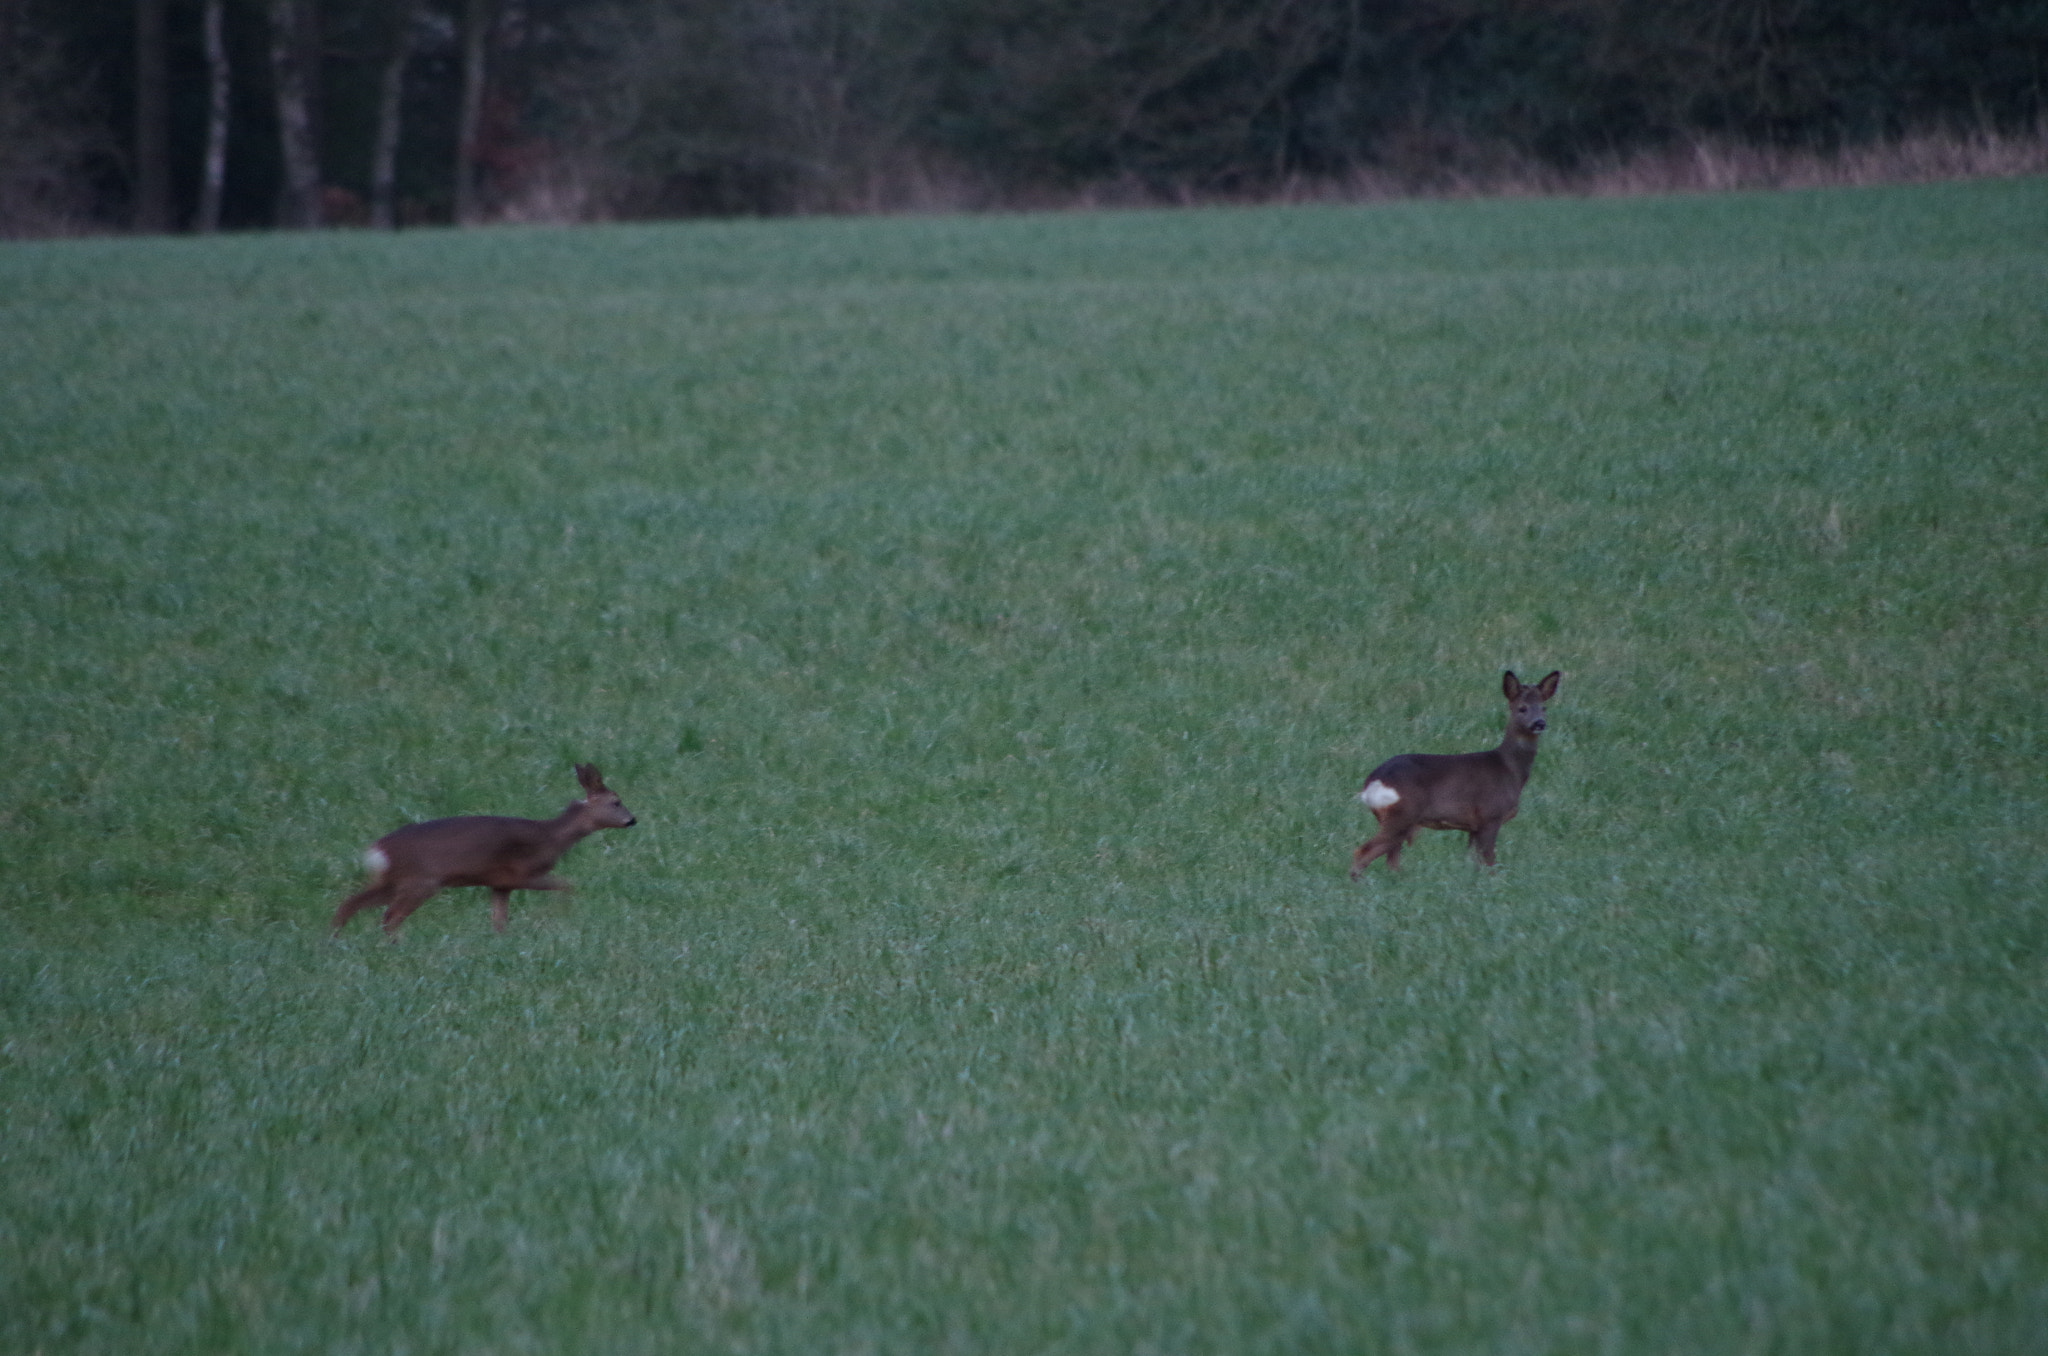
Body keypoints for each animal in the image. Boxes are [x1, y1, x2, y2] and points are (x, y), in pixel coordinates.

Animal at [331, 766, 634, 946]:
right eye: (616, 802)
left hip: (391, 881)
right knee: (390, 916)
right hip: (421, 881)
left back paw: (334, 941)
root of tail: (378, 849)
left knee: (349, 904)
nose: (633, 820)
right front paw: (565, 915)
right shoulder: (523, 873)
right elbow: (567, 885)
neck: (551, 836)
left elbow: (499, 920)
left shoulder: (499, 883)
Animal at [1351, 667, 1556, 880]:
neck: (1509, 768)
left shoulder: (1474, 826)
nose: (1539, 723)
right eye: (1522, 708)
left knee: (1391, 859)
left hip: (1400, 820)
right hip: (1402, 814)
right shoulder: (1491, 815)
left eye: (1544, 708)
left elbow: (1473, 861)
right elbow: (1489, 860)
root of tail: (1373, 782)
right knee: (1362, 852)